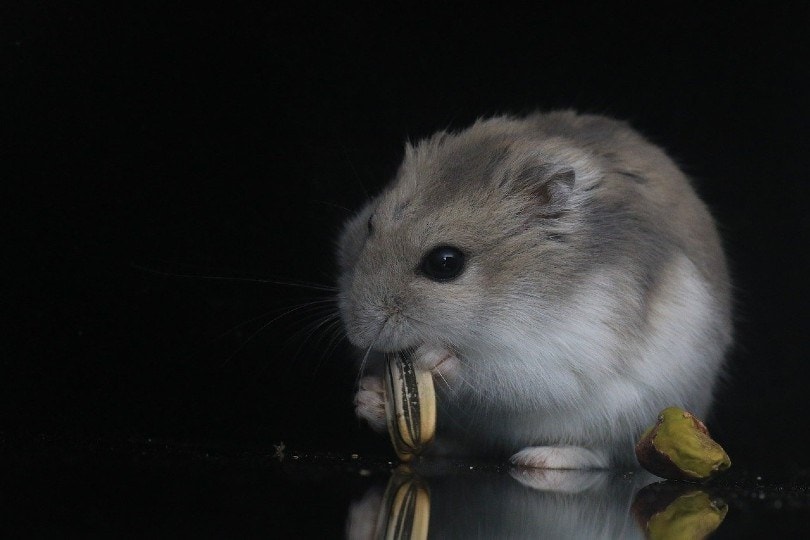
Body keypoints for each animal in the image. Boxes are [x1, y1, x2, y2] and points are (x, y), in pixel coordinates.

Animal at [337, 110, 732, 468]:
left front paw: (432, 358)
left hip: (629, 416)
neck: (503, 296)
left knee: (598, 454)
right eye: (370, 225)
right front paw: (368, 397)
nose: (357, 335)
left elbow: (487, 373)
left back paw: (540, 459)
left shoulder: (557, 353)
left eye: (445, 262)